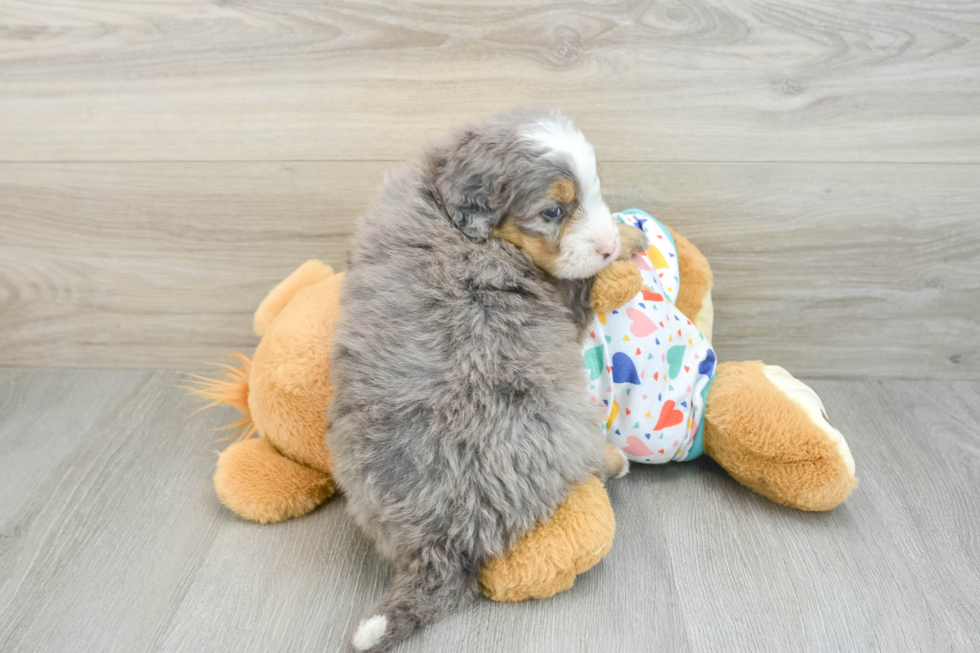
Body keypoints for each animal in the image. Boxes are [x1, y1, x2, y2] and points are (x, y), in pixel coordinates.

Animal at [334, 109, 648, 648]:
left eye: (593, 192)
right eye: (554, 211)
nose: (606, 246)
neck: (441, 203)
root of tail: (436, 545)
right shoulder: (559, 294)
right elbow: (579, 283)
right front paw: (629, 238)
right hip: (559, 423)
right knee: (579, 465)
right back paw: (613, 460)